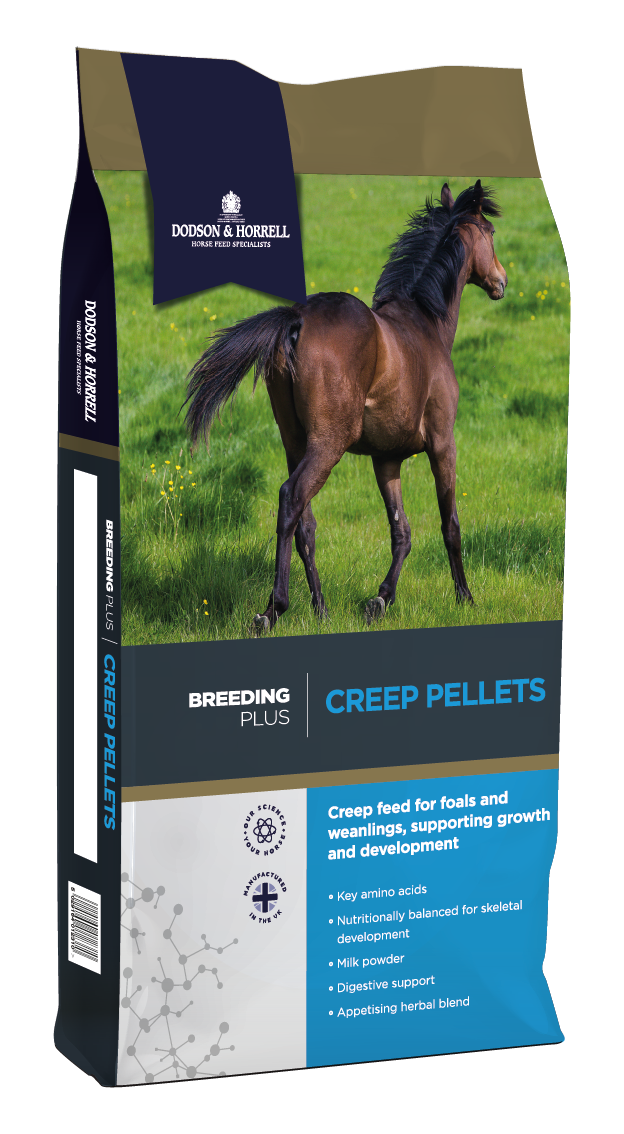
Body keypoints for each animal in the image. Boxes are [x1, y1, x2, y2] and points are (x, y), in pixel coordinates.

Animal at [185, 180, 506, 634]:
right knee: (291, 499)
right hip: (328, 444)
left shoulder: (386, 460)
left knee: (306, 524)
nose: (501, 281)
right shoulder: (444, 444)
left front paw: (380, 600)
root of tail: (297, 320)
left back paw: (321, 610)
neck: (425, 324)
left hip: (296, 443)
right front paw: (465, 597)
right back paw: (273, 608)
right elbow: (451, 524)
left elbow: (402, 532)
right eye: (490, 232)